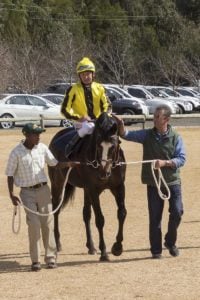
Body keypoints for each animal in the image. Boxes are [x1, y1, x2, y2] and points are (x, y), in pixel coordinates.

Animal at [48, 112, 126, 260]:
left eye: (113, 146)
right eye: (98, 146)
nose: (103, 172)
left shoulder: (118, 187)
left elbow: (122, 213)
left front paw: (117, 247)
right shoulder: (93, 190)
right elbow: (100, 219)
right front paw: (104, 252)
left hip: (85, 190)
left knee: (86, 214)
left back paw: (91, 246)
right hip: (58, 183)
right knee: (56, 210)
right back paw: (57, 243)